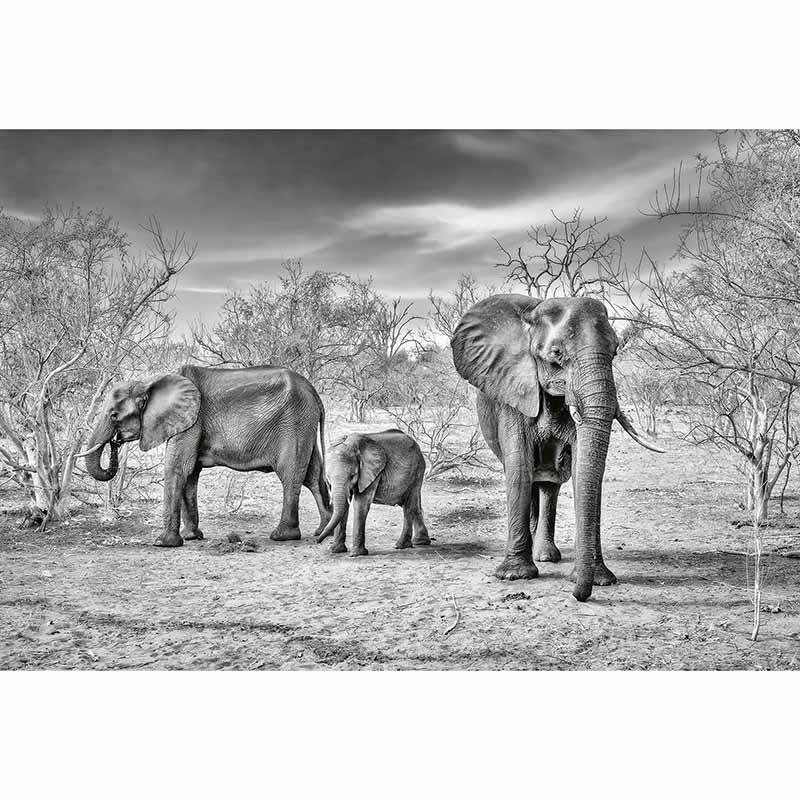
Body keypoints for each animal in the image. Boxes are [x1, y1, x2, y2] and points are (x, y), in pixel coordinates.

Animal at [79, 364, 331, 547]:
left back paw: (282, 536)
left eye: (114, 415)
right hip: (303, 423)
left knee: (291, 475)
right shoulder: (187, 423)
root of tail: (314, 393)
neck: (149, 382)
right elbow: (190, 474)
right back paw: (323, 531)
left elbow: (177, 468)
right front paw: (192, 537)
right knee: (313, 476)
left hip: (294, 423)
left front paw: (164, 543)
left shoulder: (191, 422)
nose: (115, 443)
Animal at [451, 294, 662, 601]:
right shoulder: (513, 390)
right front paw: (515, 576)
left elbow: (582, 472)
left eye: (614, 352)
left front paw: (601, 580)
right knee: (529, 476)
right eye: (556, 355)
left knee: (550, 482)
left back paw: (546, 555)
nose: (577, 594)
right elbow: (519, 468)